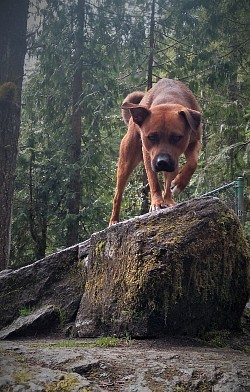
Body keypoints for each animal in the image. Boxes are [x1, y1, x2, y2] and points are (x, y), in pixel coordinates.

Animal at [109, 78, 201, 225]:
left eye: (176, 137)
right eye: (151, 137)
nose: (162, 162)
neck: (169, 98)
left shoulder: (193, 142)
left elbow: (192, 162)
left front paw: (178, 185)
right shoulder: (148, 155)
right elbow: (153, 180)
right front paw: (157, 202)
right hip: (126, 161)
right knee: (118, 193)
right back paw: (114, 220)